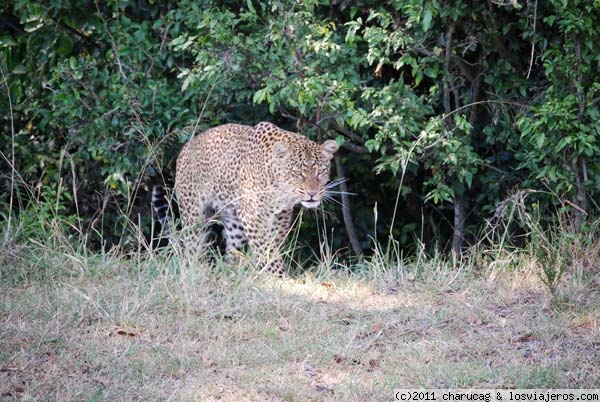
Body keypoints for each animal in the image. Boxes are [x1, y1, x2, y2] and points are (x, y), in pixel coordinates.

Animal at [152, 121, 340, 274]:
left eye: (321, 172)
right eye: (298, 173)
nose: (312, 193)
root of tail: (185, 149)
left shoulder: (282, 215)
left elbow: (272, 245)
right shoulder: (253, 215)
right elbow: (266, 247)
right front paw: (278, 277)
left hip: (234, 223)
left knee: (231, 251)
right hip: (194, 215)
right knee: (193, 247)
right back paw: (197, 271)